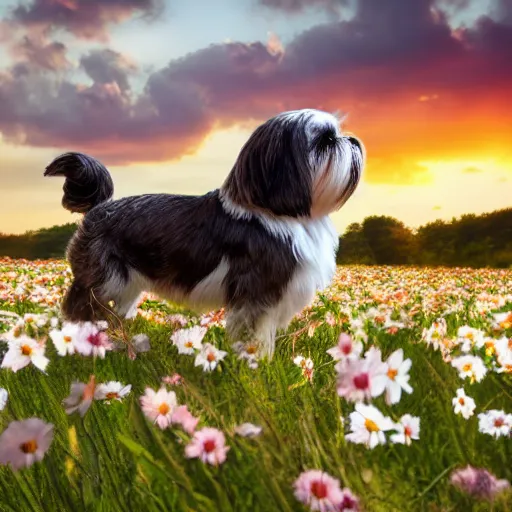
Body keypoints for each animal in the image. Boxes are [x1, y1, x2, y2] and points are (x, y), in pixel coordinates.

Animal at [45, 109, 364, 356]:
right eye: (325, 141)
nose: (353, 140)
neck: (279, 213)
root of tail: (100, 208)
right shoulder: (256, 295)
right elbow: (256, 338)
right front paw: (256, 367)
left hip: (125, 288)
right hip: (103, 281)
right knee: (80, 310)